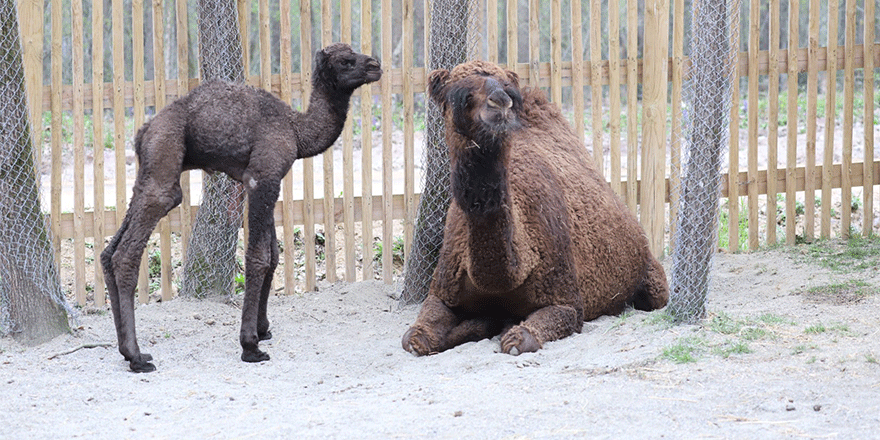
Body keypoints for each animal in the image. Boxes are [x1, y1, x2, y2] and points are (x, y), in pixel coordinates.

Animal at [100, 43, 382, 372]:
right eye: (346, 61)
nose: (376, 65)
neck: (296, 130)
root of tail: (143, 132)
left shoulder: (264, 180)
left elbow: (273, 256)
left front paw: (263, 329)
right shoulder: (264, 175)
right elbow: (258, 257)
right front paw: (250, 345)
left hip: (147, 173)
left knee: (108, 251)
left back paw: (126, 350)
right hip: (164, 163)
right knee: (126, 253)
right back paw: (136, 356)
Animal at [400, 61, 668, 358]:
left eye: (509, 90)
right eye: (461, 95)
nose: (500, 102)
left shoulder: (566, 301)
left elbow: (521, 340)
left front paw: (500, 328)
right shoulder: (442, 290)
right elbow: (414, 338)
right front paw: (478, 325)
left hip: (652, 278)